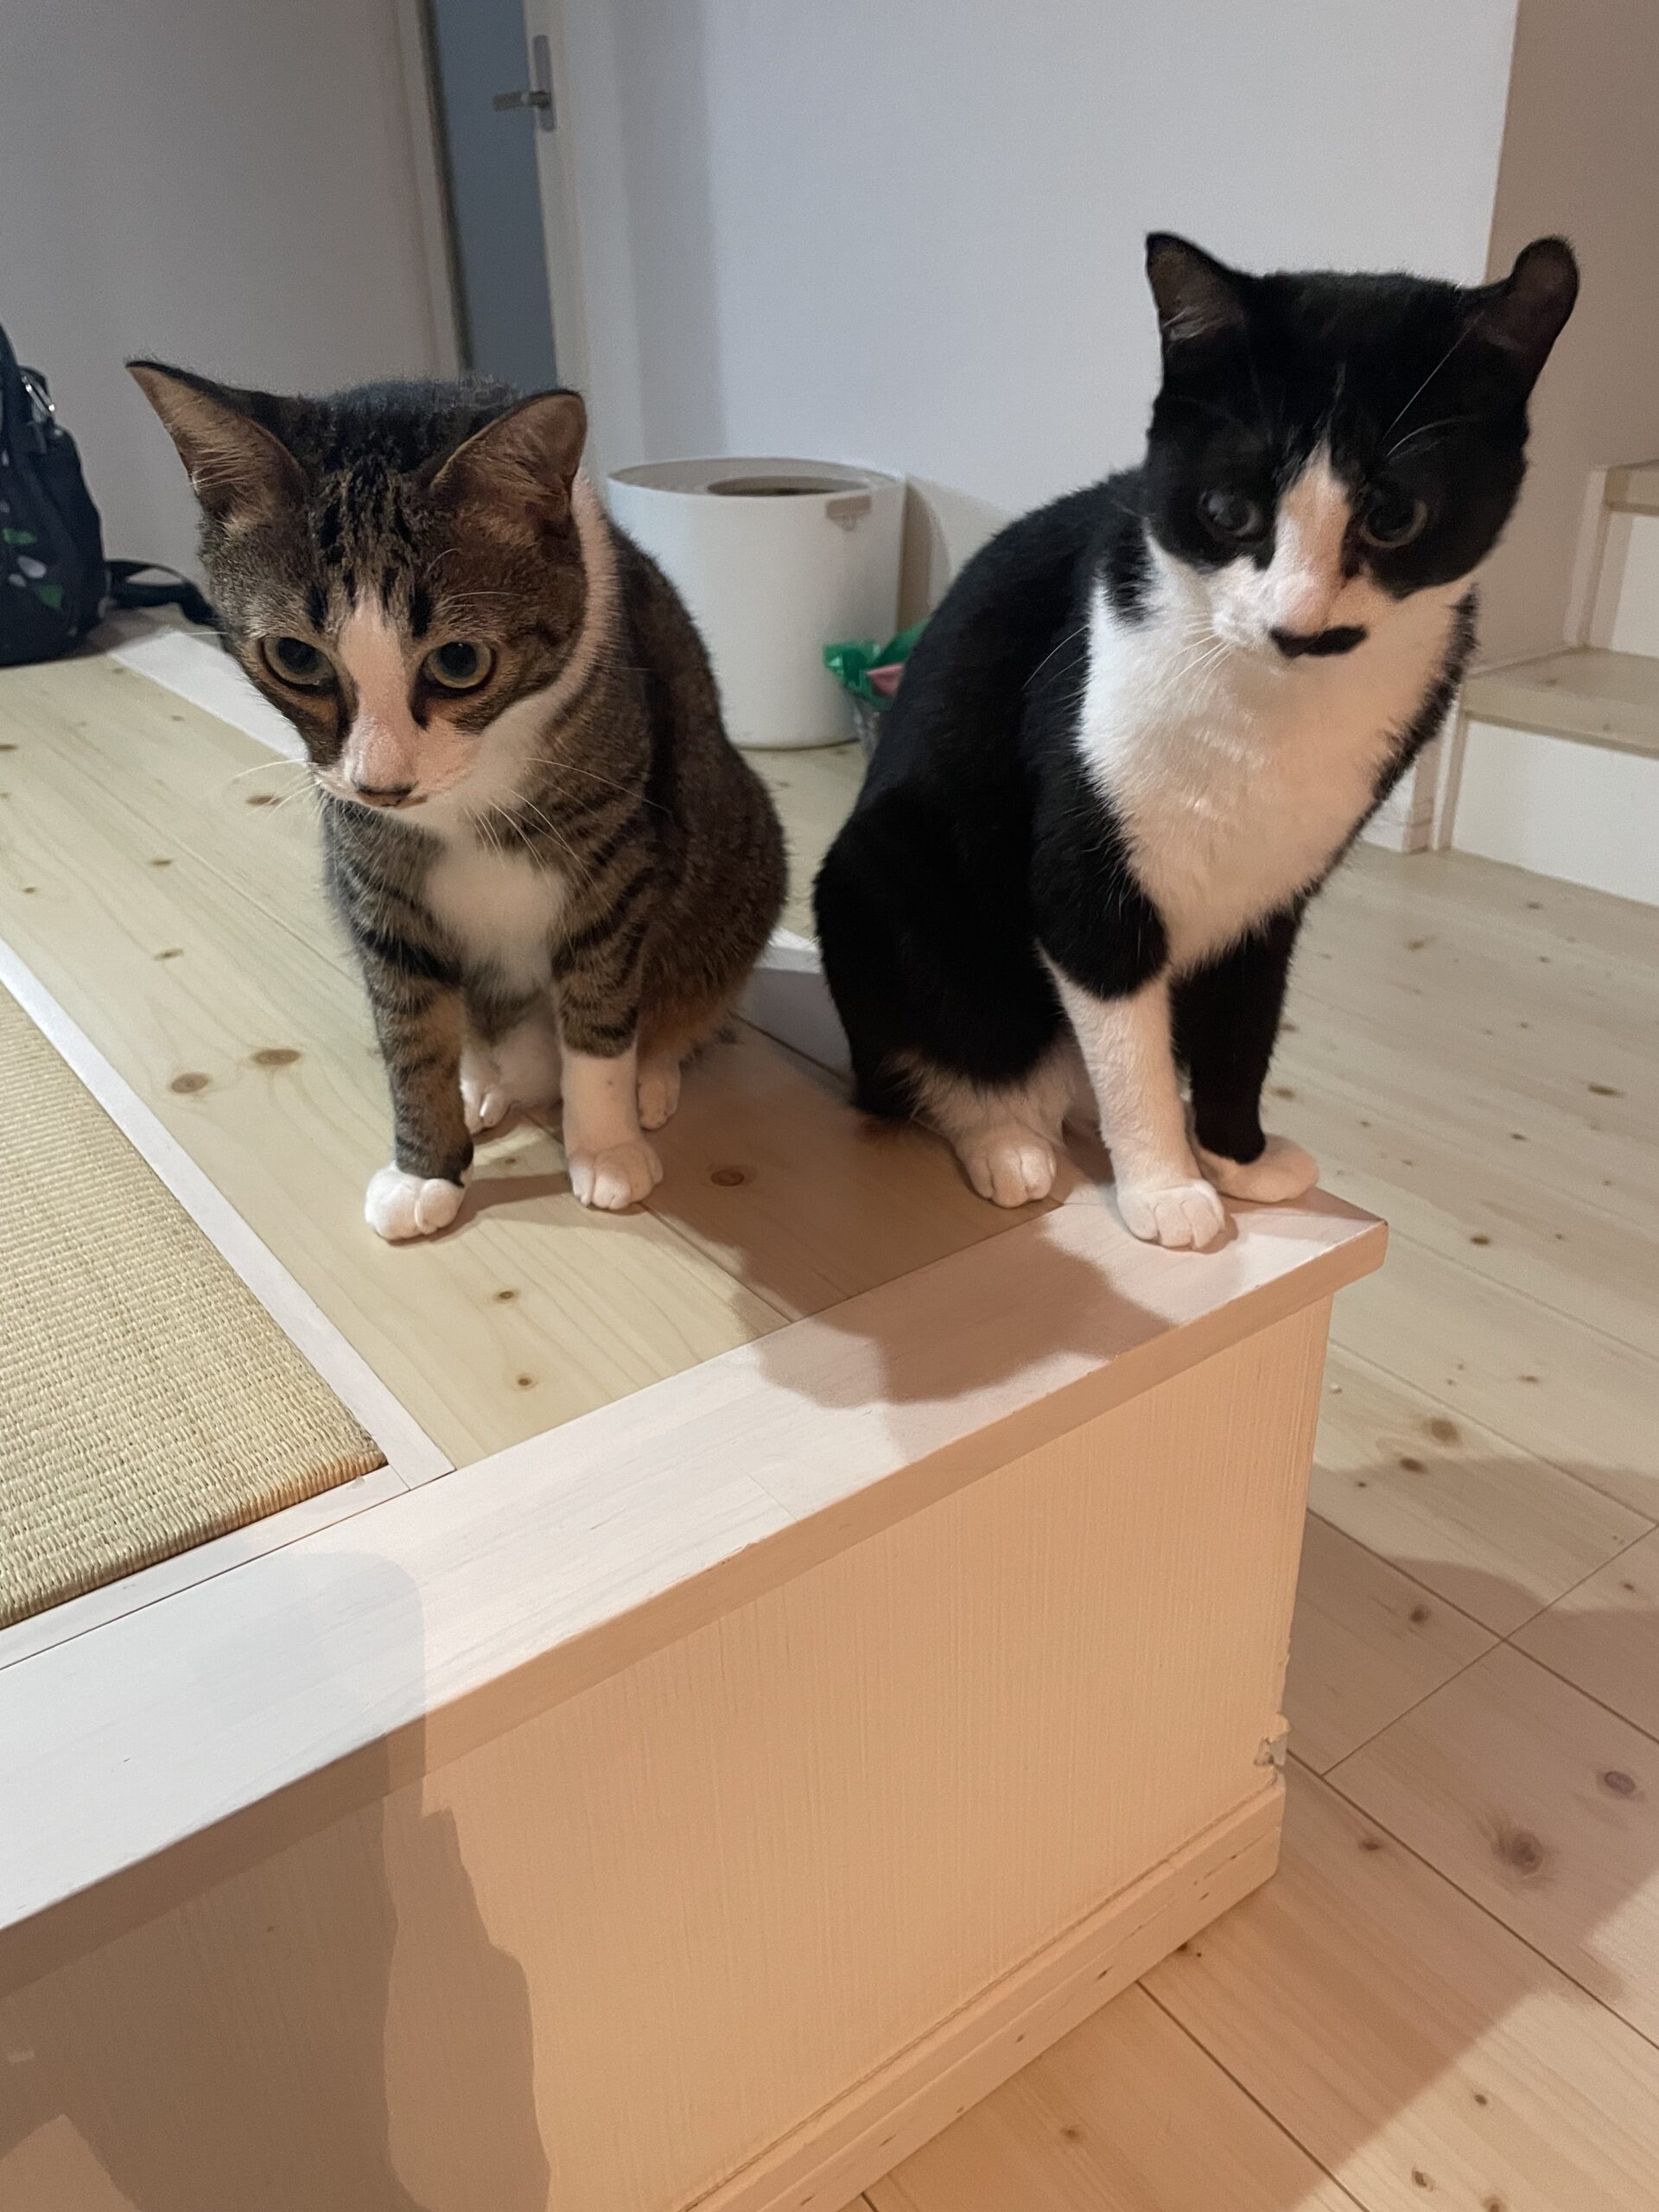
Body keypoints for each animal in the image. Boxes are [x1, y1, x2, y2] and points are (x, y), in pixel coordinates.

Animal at [129, 367, 785, 1238]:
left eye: (461, 661)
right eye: (295, 657)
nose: (381, 783)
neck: (465, 789)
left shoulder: (613, 856)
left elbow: (599, 1009)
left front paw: (606, 1146)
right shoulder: (372, 872)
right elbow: (411, 1030)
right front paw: (426, 1170)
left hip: (738, 847)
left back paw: (652, 1076)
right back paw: (483, 1080)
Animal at [815, 233, 1577, 1249]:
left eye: (1395, 517)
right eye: (1228, 512)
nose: (1298, 624)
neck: (1270, 710)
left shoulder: (1278, 887)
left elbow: (1244, 1024)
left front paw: (1235, 1155)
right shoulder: (1086, 875)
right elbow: (1123, 1035)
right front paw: (1164, 1185)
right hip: (879, 875)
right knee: (928, 1056)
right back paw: (1005, 1137)